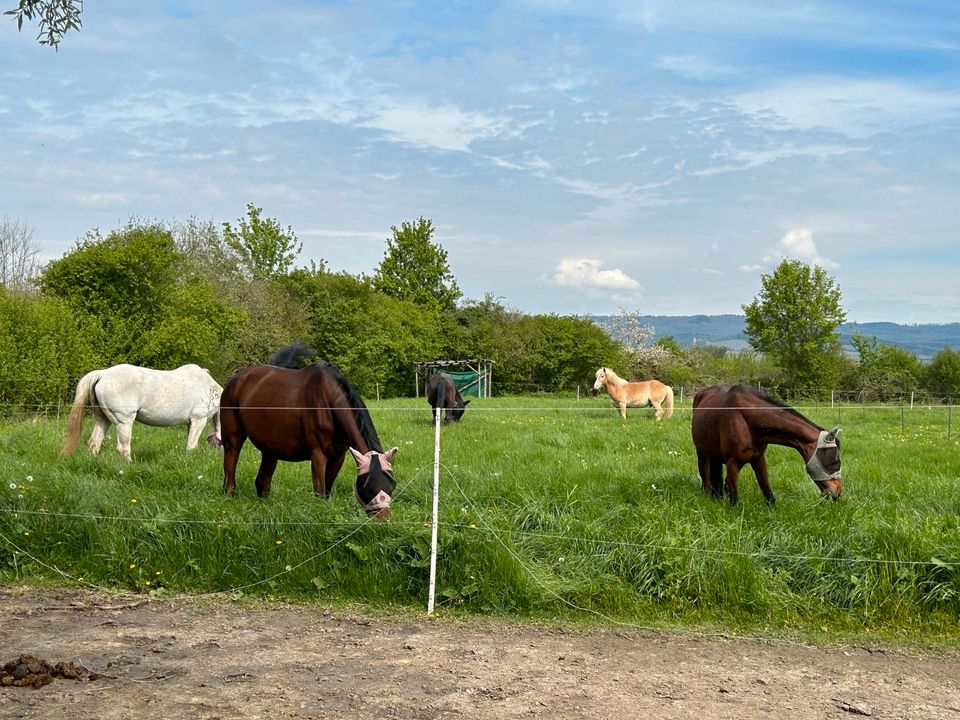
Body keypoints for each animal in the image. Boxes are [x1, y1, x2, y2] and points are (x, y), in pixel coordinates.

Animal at [61, 362, 223, 464]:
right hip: (124, 422)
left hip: (103, 420)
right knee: (123, 448)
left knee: (94, 443)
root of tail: (102, 374)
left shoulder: (190, 423)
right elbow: (191, 446)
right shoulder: (198, 420)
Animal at [218, 340, 398, 520]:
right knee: (230, 470)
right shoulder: (318, 455)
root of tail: (236, 379)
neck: (328, 403)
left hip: (270, 450)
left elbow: (327, 491)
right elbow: (320, 493)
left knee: (262, 482)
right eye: (366, 487)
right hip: (233, 439)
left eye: (392, 485)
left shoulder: (338, 457)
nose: (383, 520)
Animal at [688, 382, 840, 506]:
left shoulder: (758, 459)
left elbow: (768, 493)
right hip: (702, 455)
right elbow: (734, 499)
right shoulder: (733, 463)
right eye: (834, 462)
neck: (746, 419)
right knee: (706, 480)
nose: (837, 492)